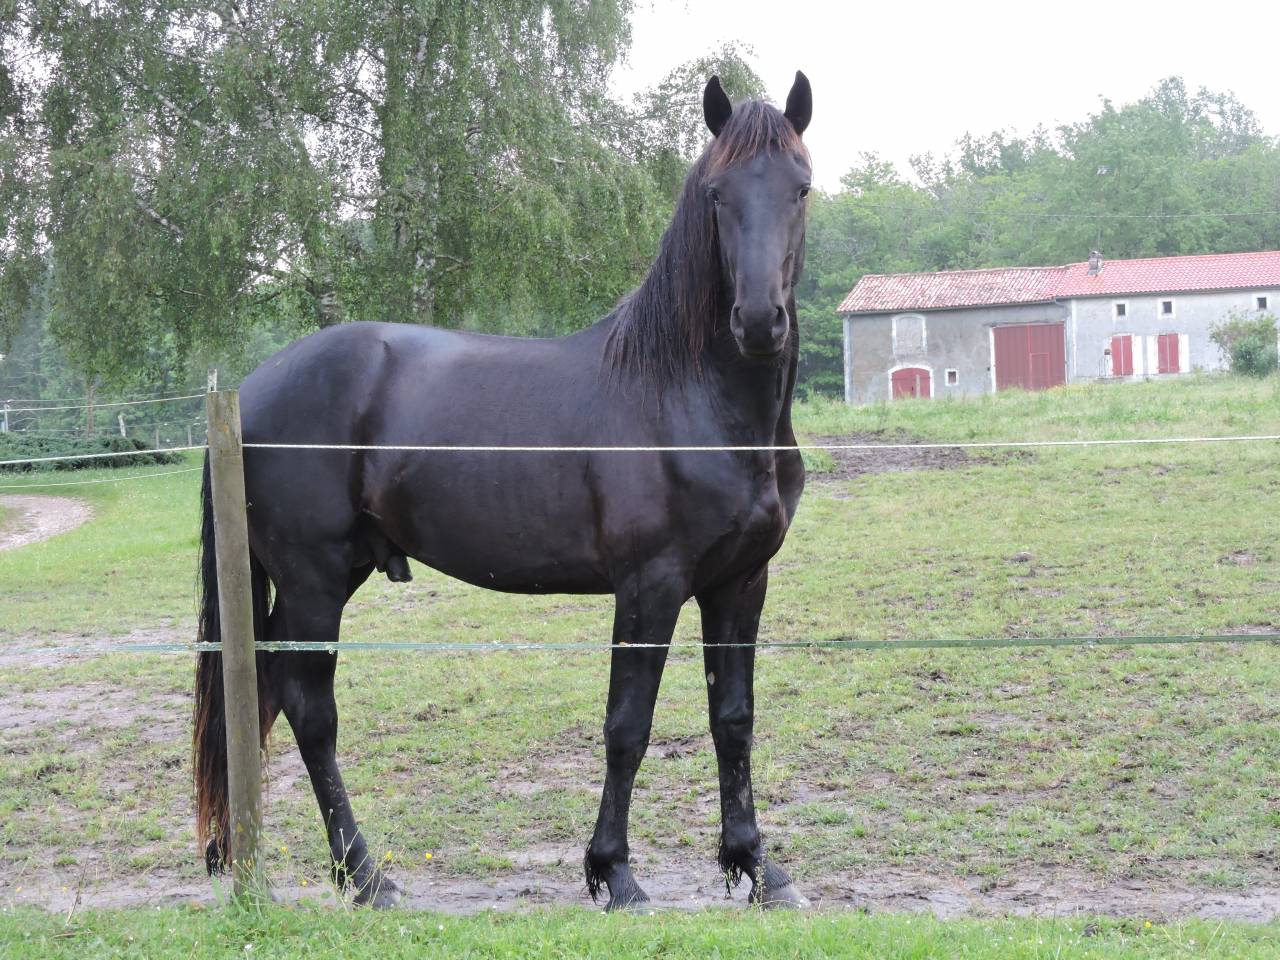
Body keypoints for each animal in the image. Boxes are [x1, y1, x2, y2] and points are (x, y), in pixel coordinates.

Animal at [193, 71, 815, 911]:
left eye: (801, 188)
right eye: (717, 194)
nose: (757, 321)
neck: (691, 397)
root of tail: (249, 394)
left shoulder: (741, 582)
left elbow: (733, 720)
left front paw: (756, 867)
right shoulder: (649, 586)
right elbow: (628, 726)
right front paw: (615, 873)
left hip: (318, 580)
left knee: (265, 696)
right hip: (313, 580)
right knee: (310, 712)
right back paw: (368, 877)